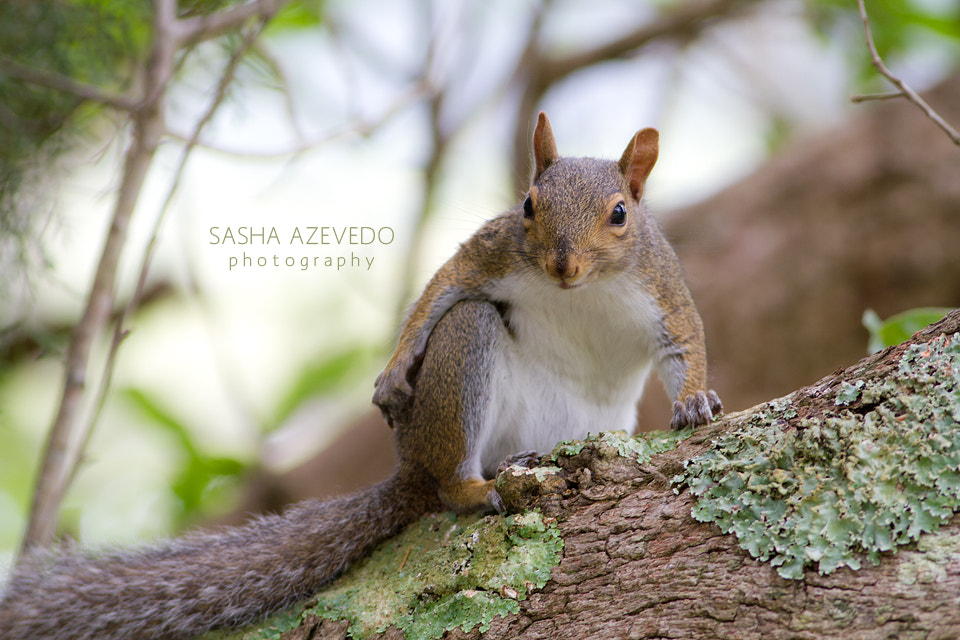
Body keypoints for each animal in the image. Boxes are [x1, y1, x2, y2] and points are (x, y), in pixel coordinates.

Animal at [0, 114, 720, 640]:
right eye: (527, 205)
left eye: (620, 213)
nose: (562, 266)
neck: (581, 293)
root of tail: (411, 466)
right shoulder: (494, 253)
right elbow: (445, 284)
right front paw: (394, 369)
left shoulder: (662, 289)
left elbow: (686, 343)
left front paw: (695, 403)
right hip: (464, 361)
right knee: (451, 442)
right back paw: (471, 487)